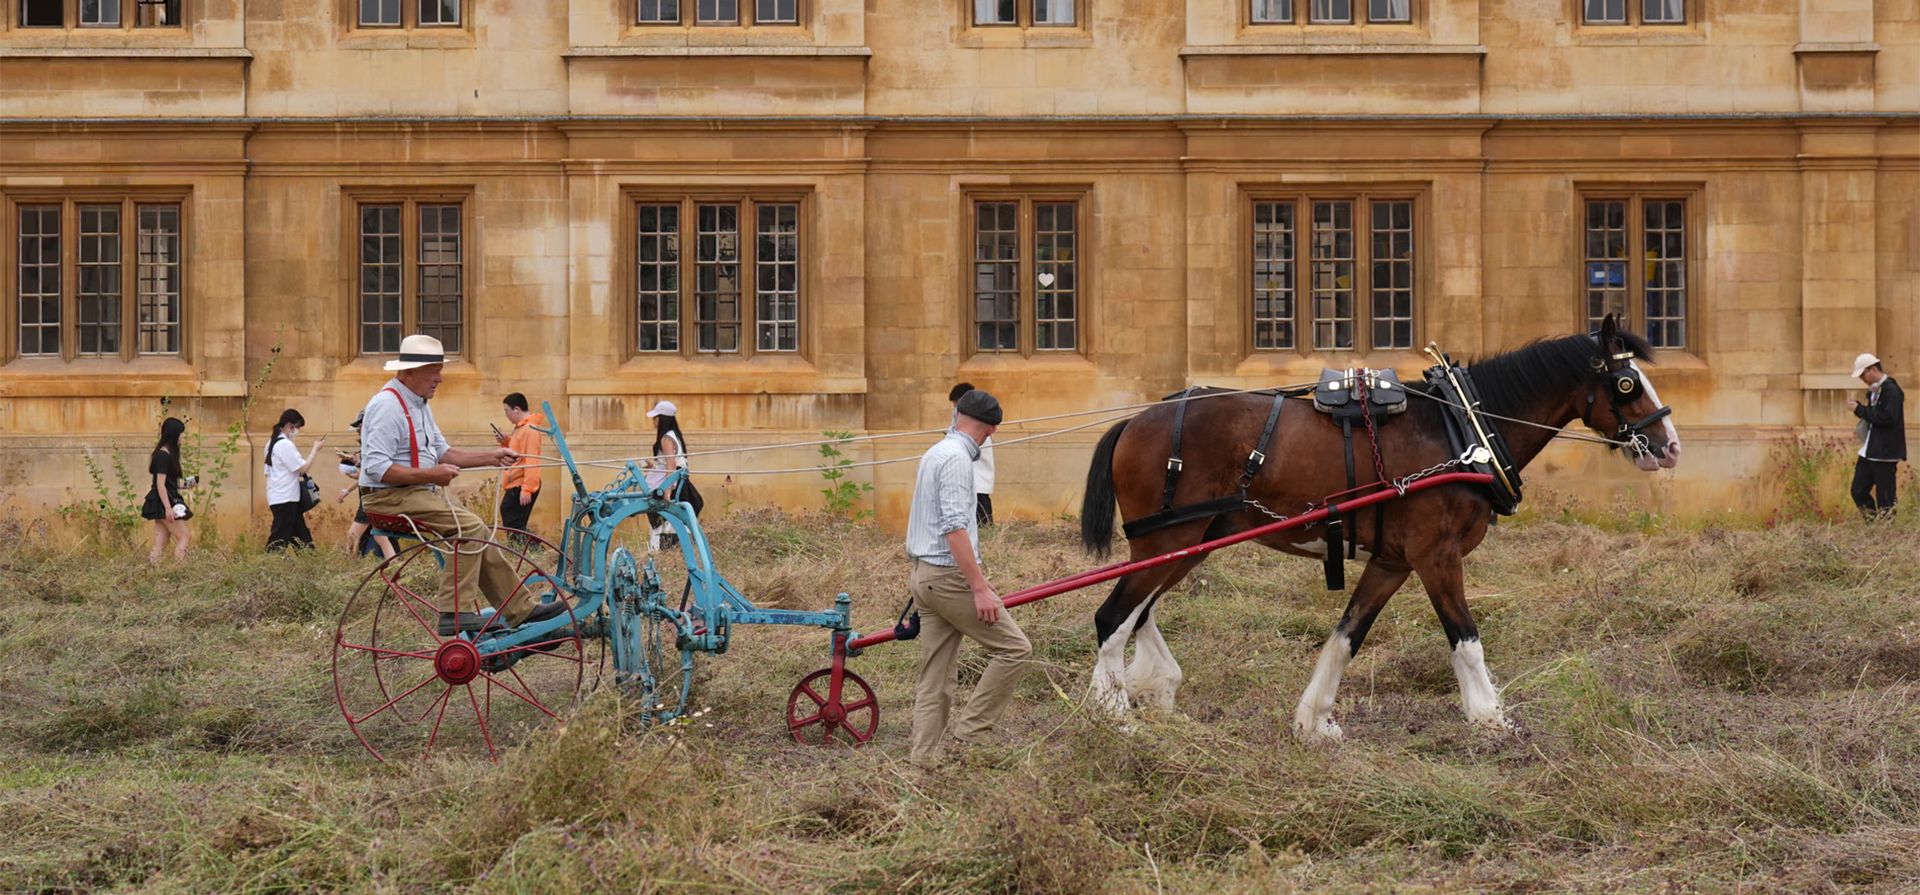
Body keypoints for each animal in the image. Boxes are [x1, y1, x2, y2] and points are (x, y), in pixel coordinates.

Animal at [1077, 315, 1681, 740]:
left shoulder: (1392, 562)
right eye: (1627, 383)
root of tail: (1135, 420)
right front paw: (1490, 718)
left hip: (1187, 543)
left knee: (1139, 612)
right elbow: (1466, 639)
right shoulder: (1436, 556)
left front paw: (1314, 720)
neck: (1462, 426)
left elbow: (1348, 636)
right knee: (1112, 615)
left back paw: (1153, 686)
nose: (1671, 446)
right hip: (1168, 539)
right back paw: (1113, 713)